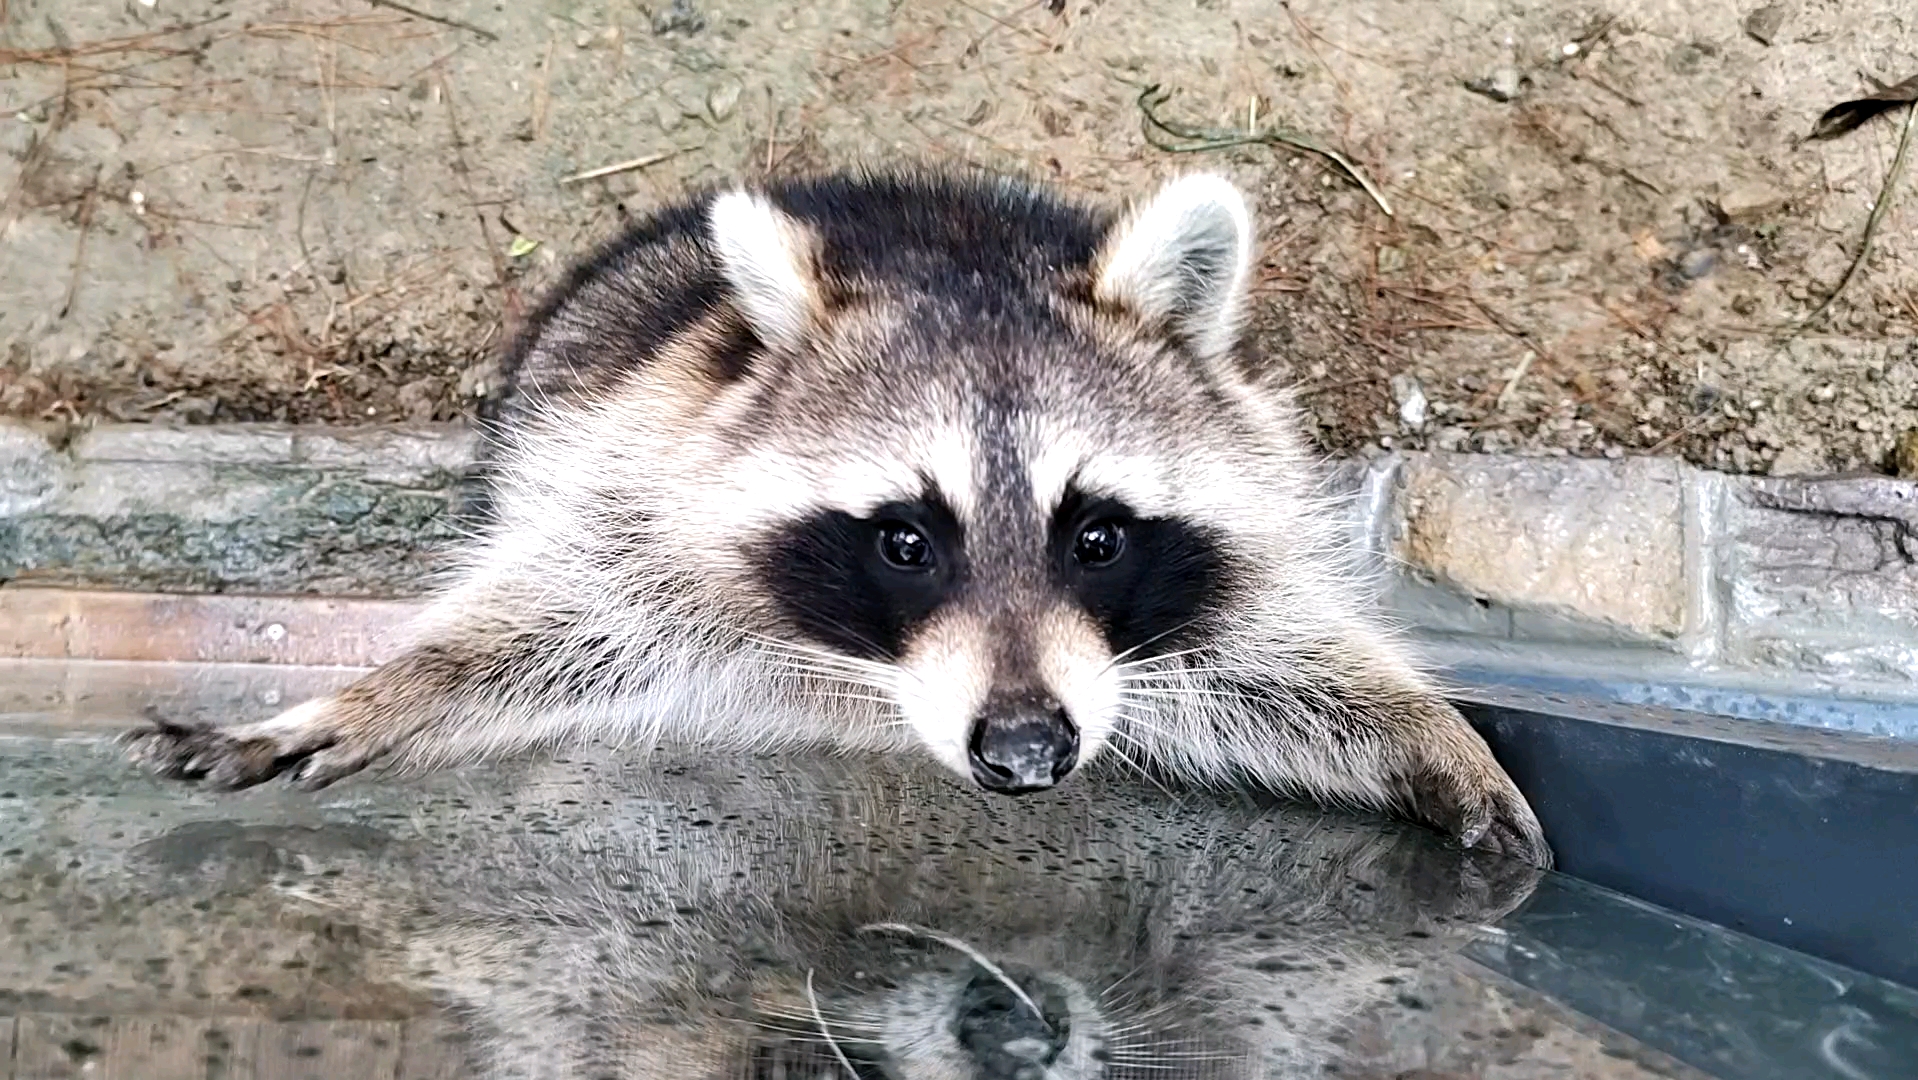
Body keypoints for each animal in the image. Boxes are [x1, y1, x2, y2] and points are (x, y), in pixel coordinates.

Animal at [119, 164, 1549, 867]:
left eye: (1095, 535)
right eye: (905, 540)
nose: (1025, 753)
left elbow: (1275, 664)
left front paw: (1419, 729)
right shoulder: (633, 503)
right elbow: (532, 632)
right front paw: (367, 697)